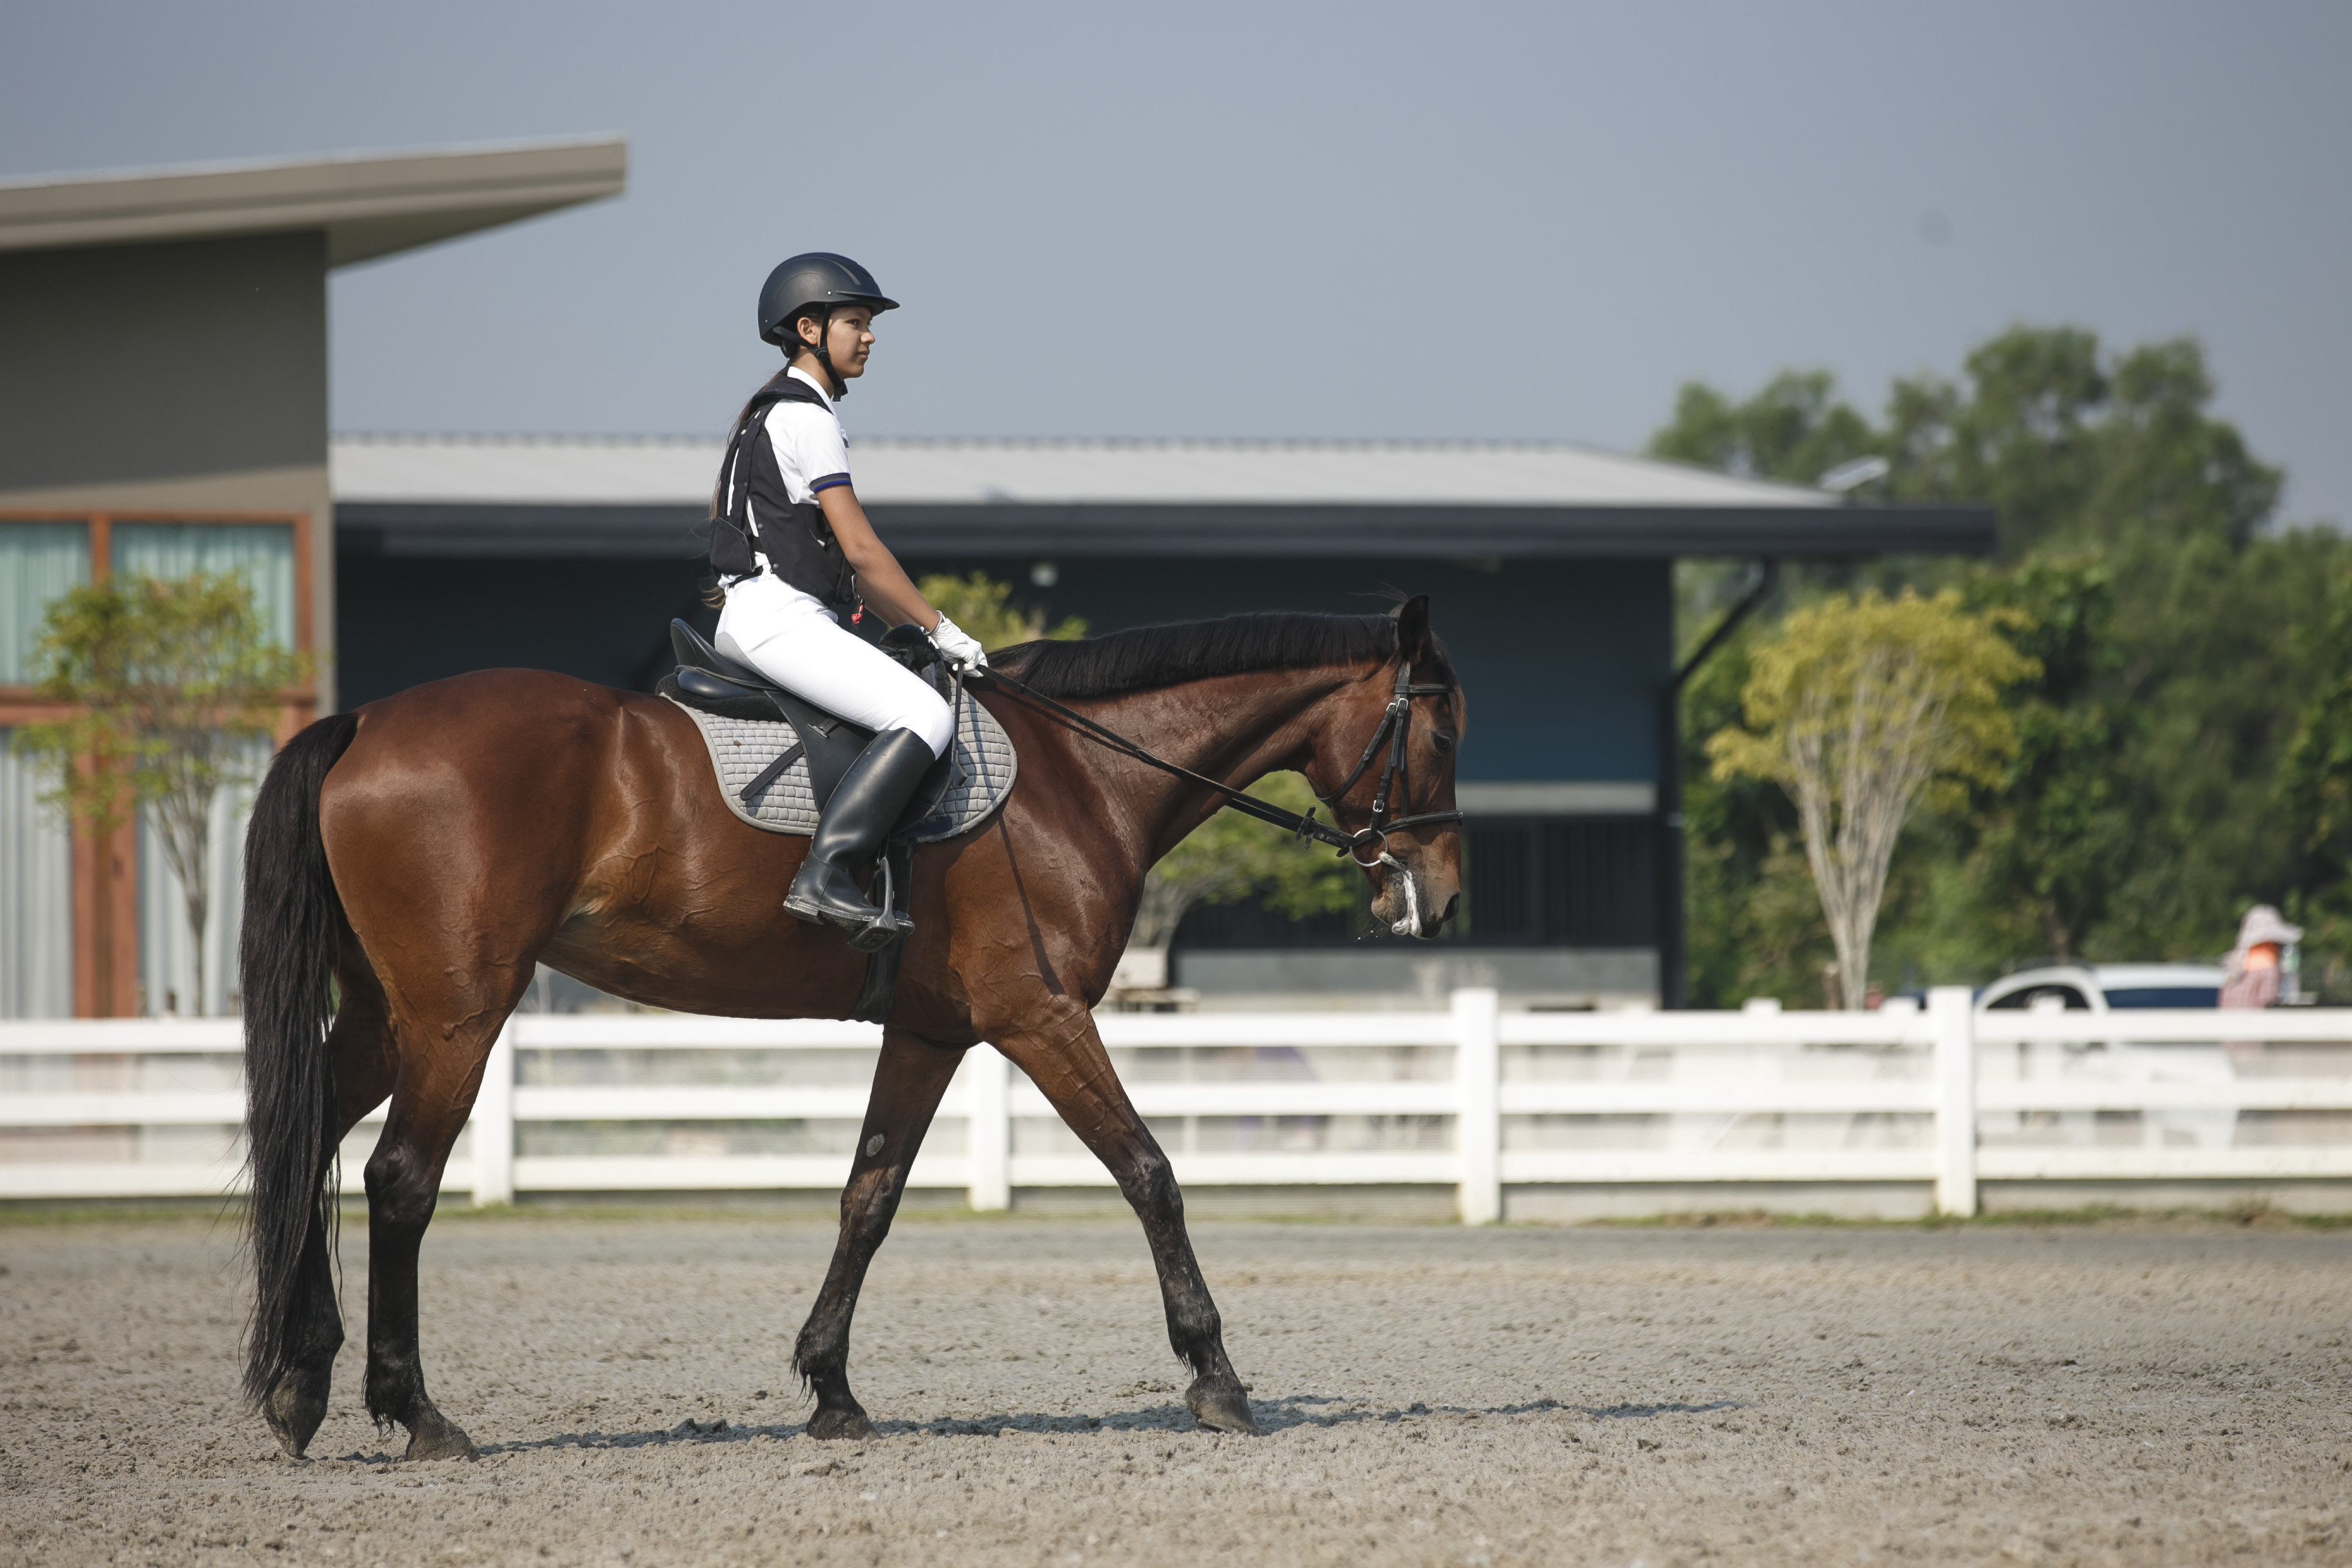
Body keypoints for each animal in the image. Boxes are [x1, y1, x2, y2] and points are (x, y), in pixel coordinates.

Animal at [237, 596, 1465, 1461]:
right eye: (1442, 733)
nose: (1440, 901)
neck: (1079, 772)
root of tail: (365, 722)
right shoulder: (1040, 1015)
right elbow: (1149, 1172)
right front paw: (1216, 1378)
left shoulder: (930, 1035)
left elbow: (867, 1198)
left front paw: (829, 1390)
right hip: (455, 1017)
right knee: (399, 1181)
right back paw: (415, 1414)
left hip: (384, 1018)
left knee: (307, 1144)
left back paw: (299, 1388)